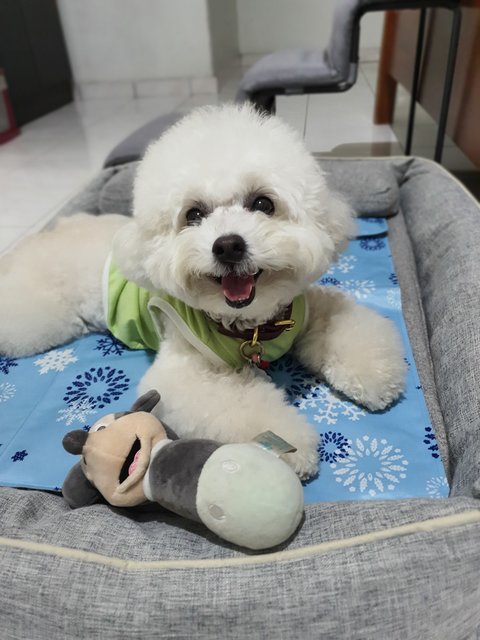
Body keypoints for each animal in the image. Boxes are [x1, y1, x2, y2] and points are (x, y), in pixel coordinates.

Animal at [0, 104, 404, 476]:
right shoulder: (182, 373)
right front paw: (292, 446)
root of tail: (40, 237)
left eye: (263, 203)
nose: (228, 245)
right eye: (193, 214)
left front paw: (375, 373)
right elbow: (240, 405)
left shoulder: (304, 310)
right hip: (38, 316)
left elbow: (343, 323)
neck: (249, 325)